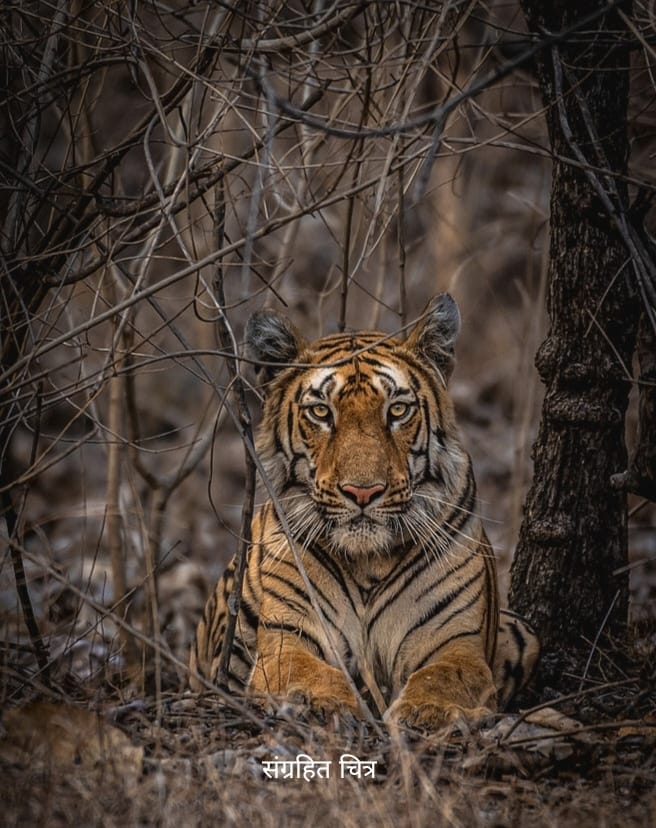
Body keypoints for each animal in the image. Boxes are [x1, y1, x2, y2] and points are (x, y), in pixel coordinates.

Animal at [189, 294, 539, 729]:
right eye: (321, 413)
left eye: (398, 410)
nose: (363, 491)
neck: (369, 561)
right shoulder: (289, 634)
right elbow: (305, 670)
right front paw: (320, 702)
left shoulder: (457, 642)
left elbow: (445, 675)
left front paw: (428, 710)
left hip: (522, 629)